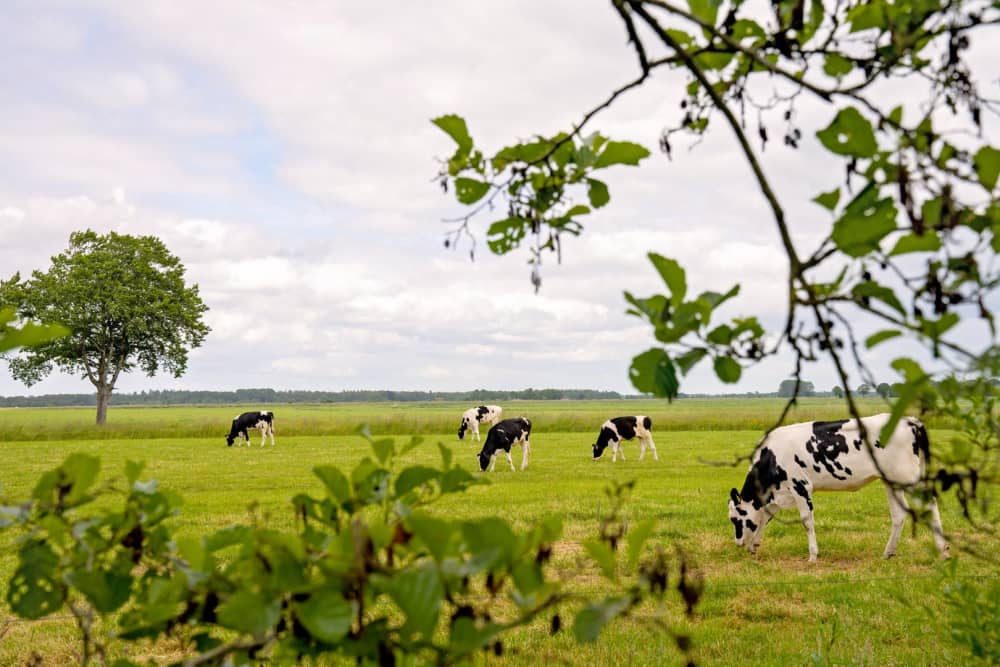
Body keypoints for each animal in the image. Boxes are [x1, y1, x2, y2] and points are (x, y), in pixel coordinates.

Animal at [727, 413, 949, 562]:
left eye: (735, 519)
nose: (737, 544)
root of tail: (911, 420)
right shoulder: (779, 492)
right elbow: (766, 515)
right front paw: (754, 546)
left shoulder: (800, 486)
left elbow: (806, 521)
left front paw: (813, 556)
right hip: (892, 481)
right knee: (899, 514)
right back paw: (888, 552)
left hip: (909, 477)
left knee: (930, 502)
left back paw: (943, 550)